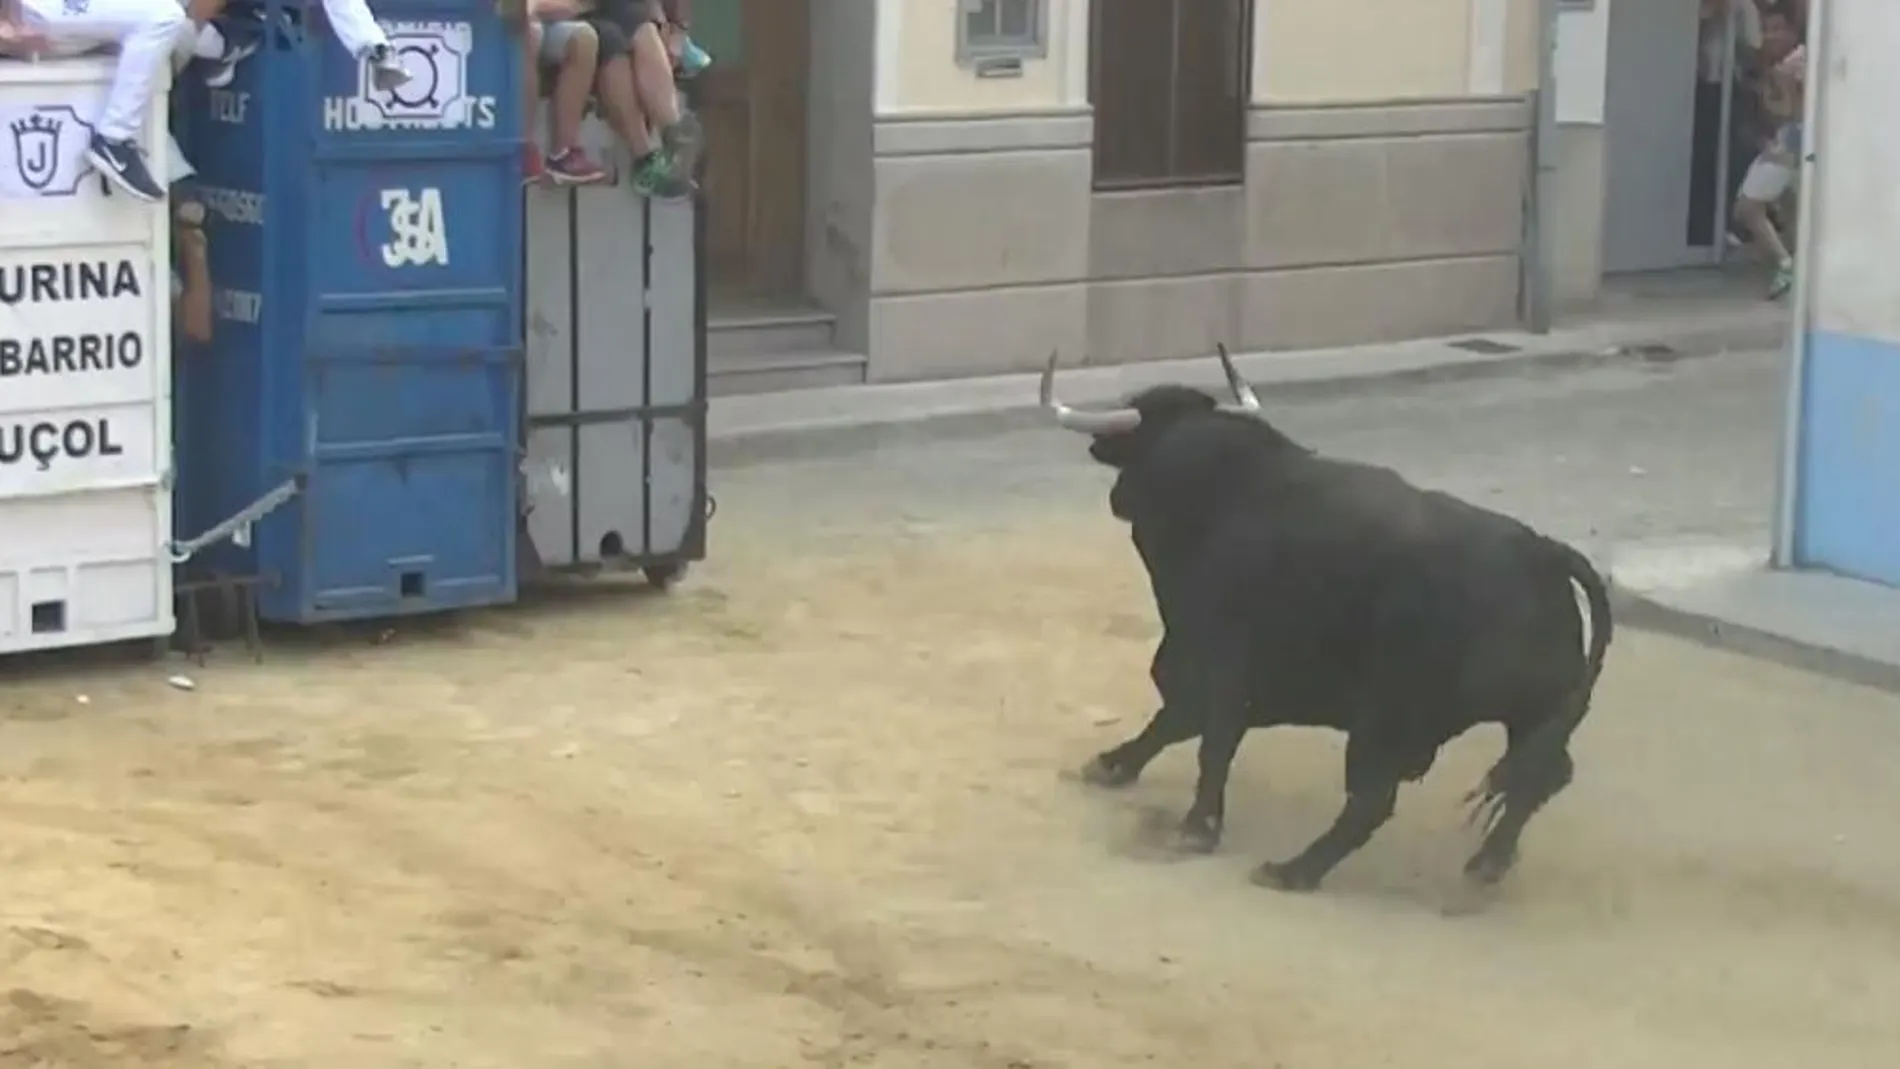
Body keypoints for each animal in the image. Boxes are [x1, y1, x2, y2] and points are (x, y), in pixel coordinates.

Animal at [1048, 351, 1611, 896]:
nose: (1119, 499)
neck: (1222, 487)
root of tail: (1542, 552)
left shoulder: (1220, 656)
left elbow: (1210, 735)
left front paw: (1197, 826)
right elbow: (1178, 719)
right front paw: (1113, 765)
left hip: (1387, 718)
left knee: (1373, 800)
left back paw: (1293, 871)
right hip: (1531, 715)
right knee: (1541, 775)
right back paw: (1487, 864)